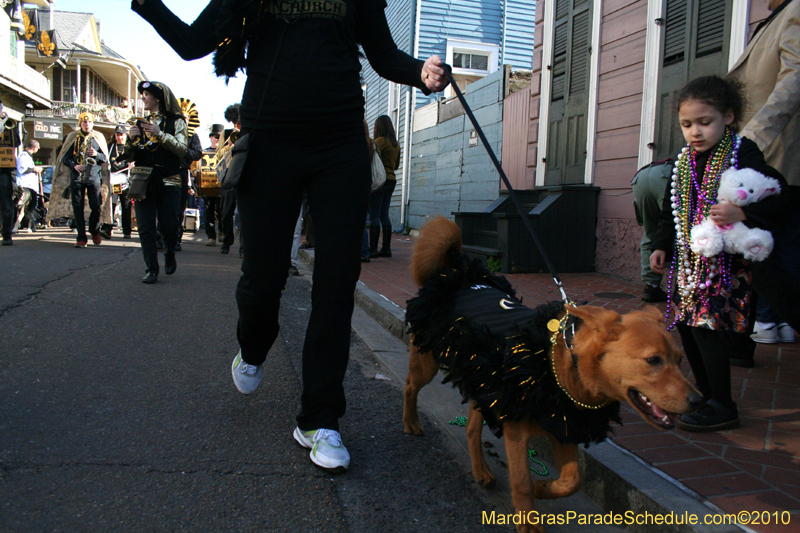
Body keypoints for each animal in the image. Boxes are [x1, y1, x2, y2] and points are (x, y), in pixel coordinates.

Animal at [404, 216, 704, 532]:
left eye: (680, 359)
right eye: (653, 360)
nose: (698, 401)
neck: (563, 365)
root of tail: (462, 276)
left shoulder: (563, 427)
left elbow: (572, 481)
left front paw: (542, 489)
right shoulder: (517, 431)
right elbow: (522, 480)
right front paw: (528, 520)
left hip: (483, 380)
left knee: (472, 427)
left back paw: (481, 469)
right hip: (428, 364)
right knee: (410, 386)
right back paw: (410, 422)